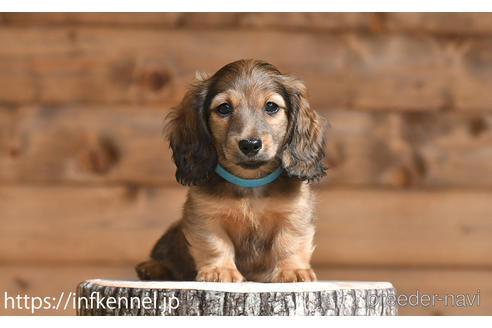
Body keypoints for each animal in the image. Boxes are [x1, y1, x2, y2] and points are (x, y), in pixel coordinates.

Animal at [135, 59, 326, 282]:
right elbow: (216, 243)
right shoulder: (205, 216)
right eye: (224, 108)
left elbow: (289, 242)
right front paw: (220, 270)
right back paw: (151, 268)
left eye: (271, 106)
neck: (250, 183)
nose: (250, 144)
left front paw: (292, 270)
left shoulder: (294, 214)